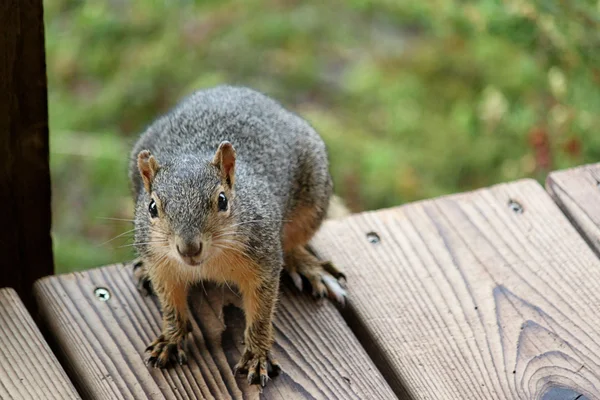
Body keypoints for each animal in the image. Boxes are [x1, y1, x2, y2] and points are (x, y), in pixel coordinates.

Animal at [129, 85, 350, 388]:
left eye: (222, 201)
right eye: (152, 207)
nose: (188, 249)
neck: (209, 264)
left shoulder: (264, 262)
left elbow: (261, 314)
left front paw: (257, 354)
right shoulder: (161, 266)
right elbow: (171, 306)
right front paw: (171, 339)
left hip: (312, 198)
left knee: (293, 244)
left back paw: (306, 264)